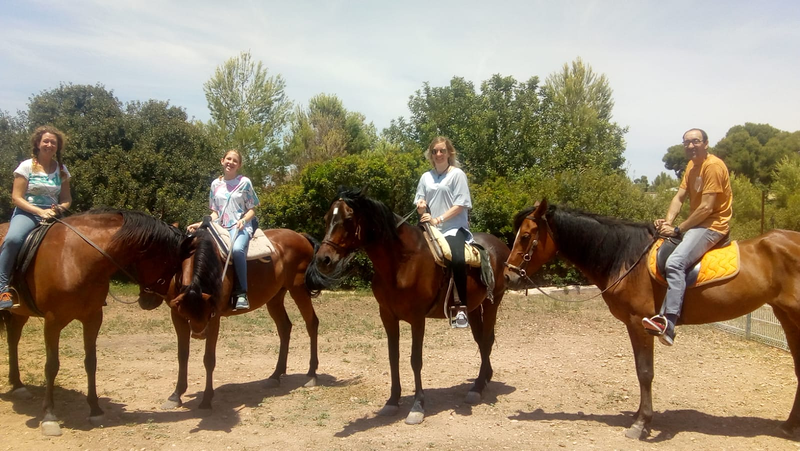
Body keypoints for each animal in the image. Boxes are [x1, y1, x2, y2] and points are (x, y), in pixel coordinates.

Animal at [0, 209, 190, 436]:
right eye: (170, 264)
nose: (152, 302)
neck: (75, 259)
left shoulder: (93, 318)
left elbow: (91, 362)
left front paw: (95, 409)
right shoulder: (53, 321)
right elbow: (52, 366)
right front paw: (49, 416)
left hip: (20, 312)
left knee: (13, 339)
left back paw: (18, 385)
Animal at [157, 219, 321, 410]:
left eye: (209, 312)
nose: (199, 334)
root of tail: (301, 236)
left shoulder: (214, 318)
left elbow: (209, 359)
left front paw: (206, 400)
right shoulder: (178, 316)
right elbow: (182, 355)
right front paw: (176, 395)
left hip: (299, 289)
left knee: (312, 323)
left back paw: (312, 374)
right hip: (275, 297)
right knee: (285, 328)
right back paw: (275, 375)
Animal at [305, 187, 510, 424]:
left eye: (348, 219)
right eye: (326, 218)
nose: (323, 260)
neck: (402, 263)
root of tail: (500, 246)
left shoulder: (417, 319)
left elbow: (415, 360)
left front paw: (417, 406)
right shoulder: (388, 316)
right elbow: (393, 358)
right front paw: (392, 401)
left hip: (493, 302)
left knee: (486, 341)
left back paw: (477, 388)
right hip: (475, 308)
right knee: (482, 341)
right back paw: (483, 380)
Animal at [504, 199, 800, 439]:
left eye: (526, 236)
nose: (508, 276)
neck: (627, 258)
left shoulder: (640, 322)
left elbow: (645, 373)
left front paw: (641, 424)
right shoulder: (633, 325)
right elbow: (640, 370)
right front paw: (640, 417)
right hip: (785, 315)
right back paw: (789, 426)